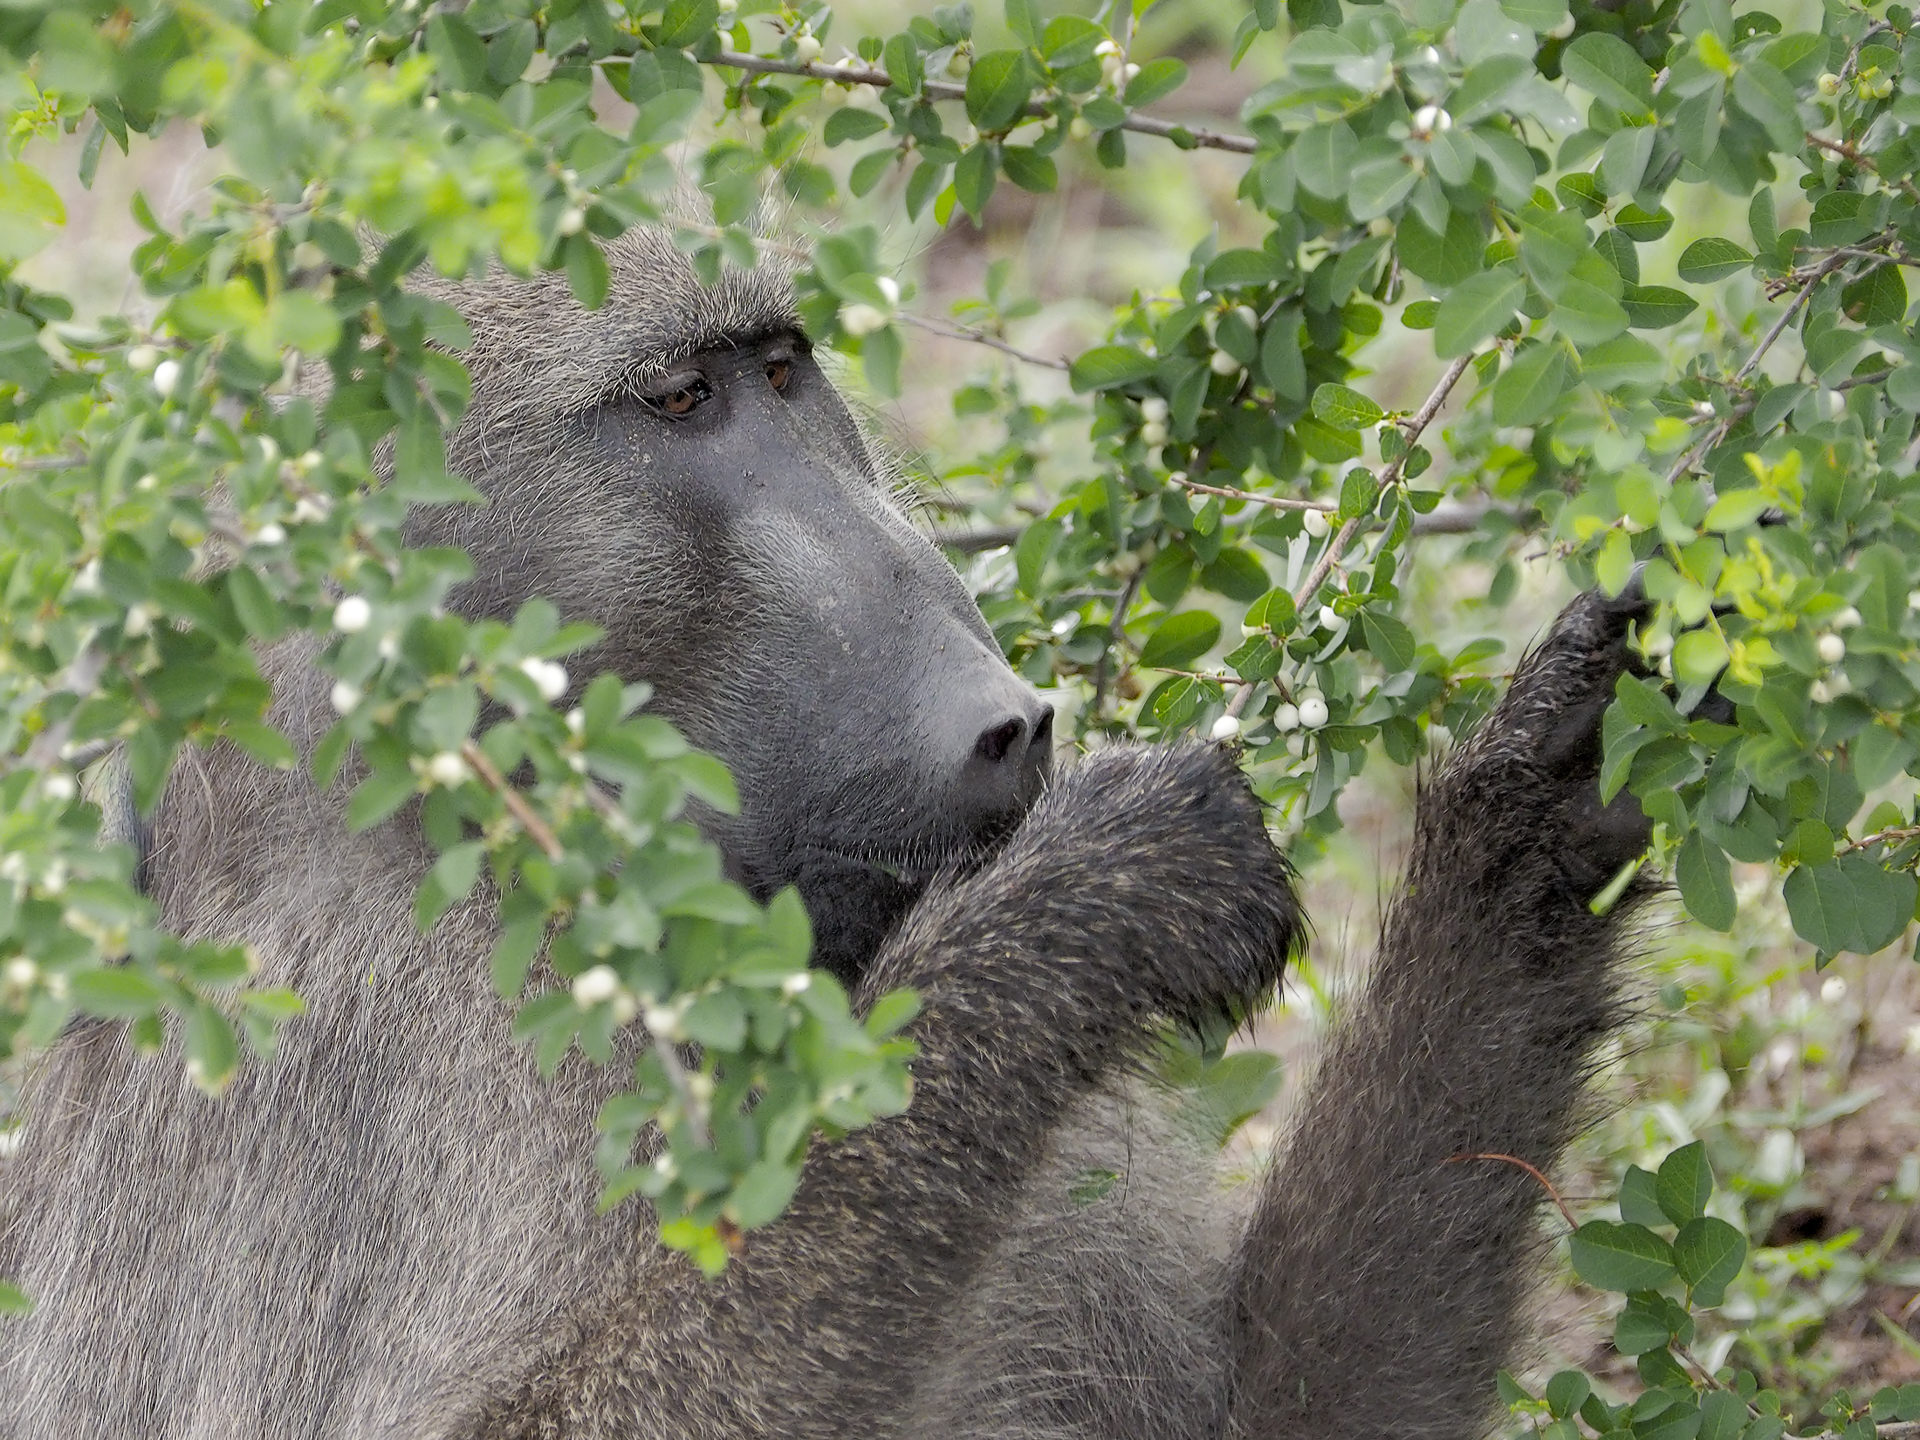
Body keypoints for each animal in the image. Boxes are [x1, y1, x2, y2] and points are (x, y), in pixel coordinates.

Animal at [0, 222, 1652, 1440]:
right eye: (677, 401)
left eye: (783, 370)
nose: (1011, 724)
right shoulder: (369, 1047)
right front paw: (1081, 905)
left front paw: (1535, 802)